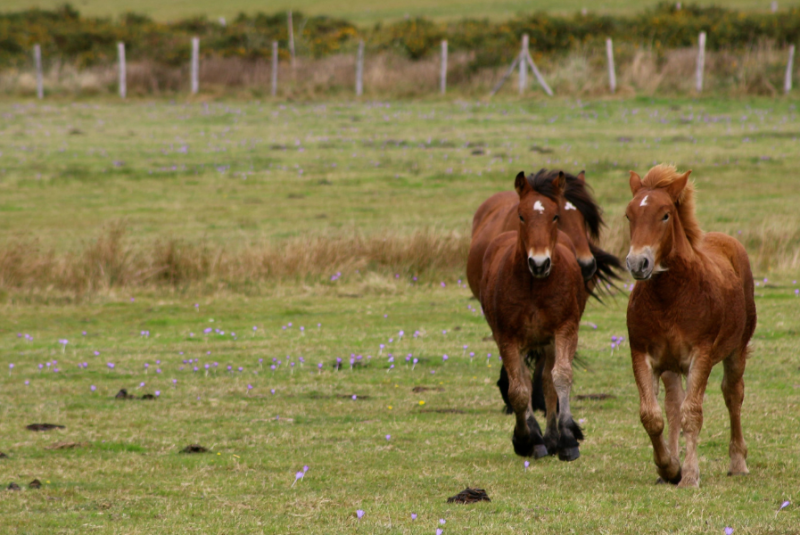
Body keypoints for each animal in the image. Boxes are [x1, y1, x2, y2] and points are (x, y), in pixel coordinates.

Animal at [480, 170, 588, 461]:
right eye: (521, 215)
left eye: (555, 216)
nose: (539, 263)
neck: (534, 286)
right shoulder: (508, 339)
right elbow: (518, 390)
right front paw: (525, 439)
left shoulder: (565, 330)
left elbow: (561, 377)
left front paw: (567, 438)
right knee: (526, 381)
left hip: (548, 342)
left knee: (548, 382)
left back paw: (552, 437)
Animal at [624, 164, 756, 487]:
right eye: (629, 215)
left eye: (665, 215)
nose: (637, 263)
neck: (669, 298)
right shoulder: (643, 355)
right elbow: (652, 416)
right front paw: (669, 467)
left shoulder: (701, 355)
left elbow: (692, 413)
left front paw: (690, 476)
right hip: (671, 365)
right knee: (672, 405)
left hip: (736, 351)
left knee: (733, 394)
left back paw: (738, 462)